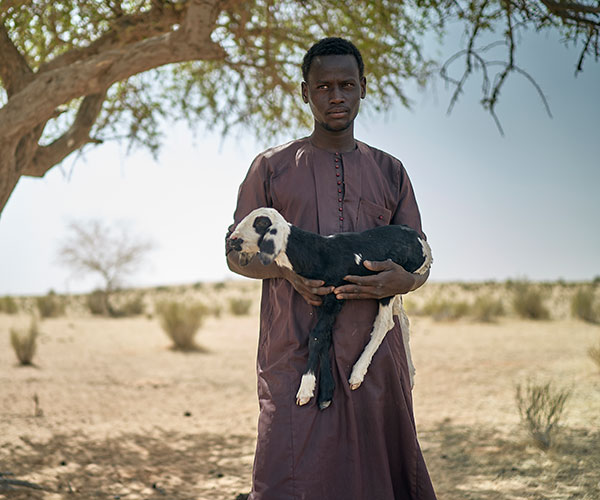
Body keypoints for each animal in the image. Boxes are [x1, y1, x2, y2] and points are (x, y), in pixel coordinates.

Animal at [229, 207, 432, 410]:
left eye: (261, 223)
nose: (232, 239)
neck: (319, 253)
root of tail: (419, 239)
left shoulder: (335, 297)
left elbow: (316, 336)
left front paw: (306, 388)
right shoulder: (322, 300)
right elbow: (325, 337)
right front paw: (326, 392)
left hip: (391, 283)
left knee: (385, 323)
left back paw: (357, 373)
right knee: (402, 320)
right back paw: (410, 373)